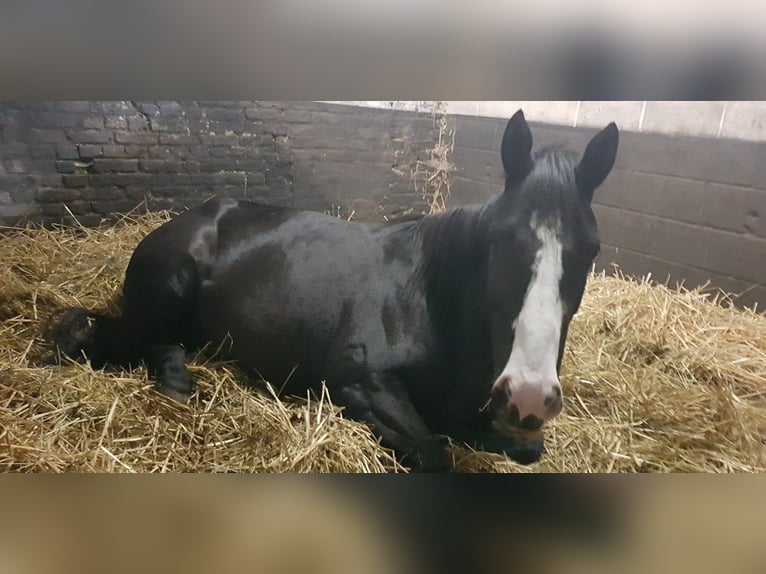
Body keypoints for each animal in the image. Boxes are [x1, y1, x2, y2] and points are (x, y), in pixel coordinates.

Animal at [48, 110, 618, 472]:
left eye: (591, 250)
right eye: (502, 239)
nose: (529, 392)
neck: (428, 300)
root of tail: (191, 217)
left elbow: (523, 447)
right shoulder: (359, 382)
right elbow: (433, 451)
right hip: (161, 299)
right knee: (104, 339)